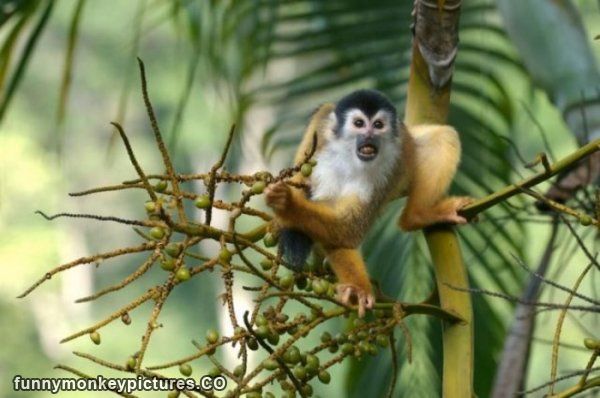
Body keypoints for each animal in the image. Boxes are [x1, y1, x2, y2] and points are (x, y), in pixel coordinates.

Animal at [266, 90, 468, 318]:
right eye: (359, 123)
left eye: (378, 125)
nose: (370, 135)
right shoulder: (323, 152)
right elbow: (337, 228)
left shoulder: (390, 167)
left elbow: (348, 229)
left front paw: (288, 206)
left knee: (443, 136)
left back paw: (418, 216)